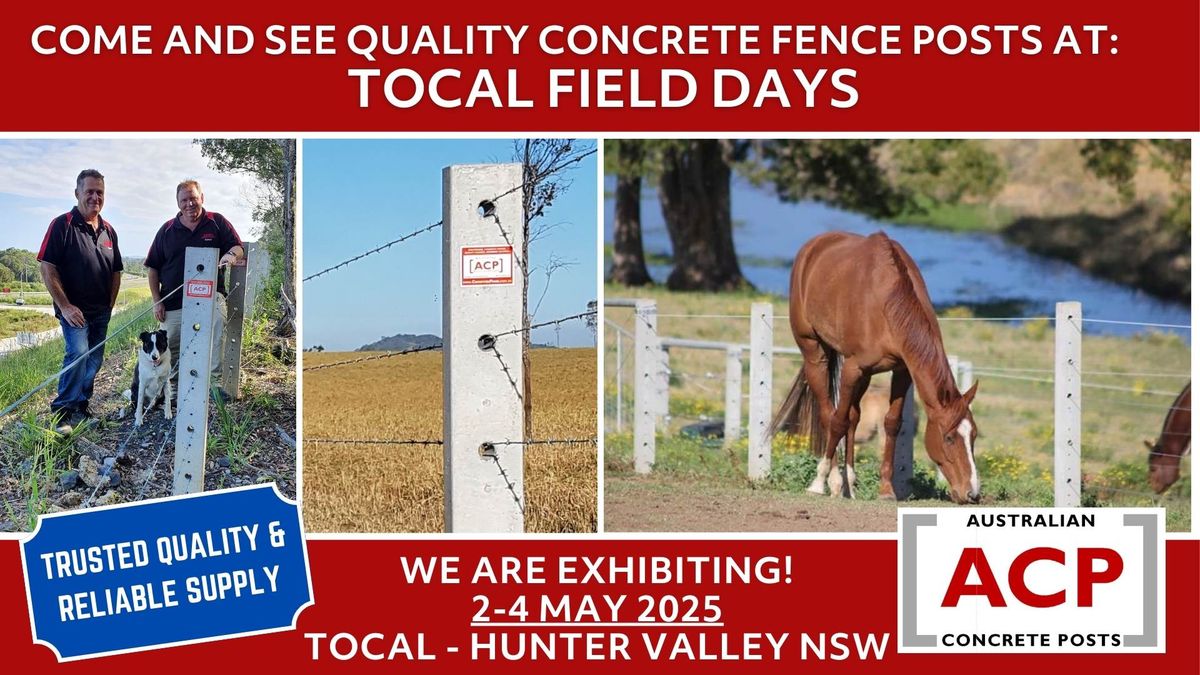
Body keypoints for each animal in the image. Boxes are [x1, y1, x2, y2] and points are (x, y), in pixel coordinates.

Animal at [772, 229, 979, 499]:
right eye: (949, 438)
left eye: (973, 435)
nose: (972, 493)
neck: (888, 303)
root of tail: (814, 245)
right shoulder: (853, 369)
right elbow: (837, 421)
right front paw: (819, 483)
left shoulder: (902, 371)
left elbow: (891, 423)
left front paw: (886, 490)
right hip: (814, 351)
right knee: (829, 414)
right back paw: (832, 482)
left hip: (865, 375)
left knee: (853, 417)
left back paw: (850, 484)